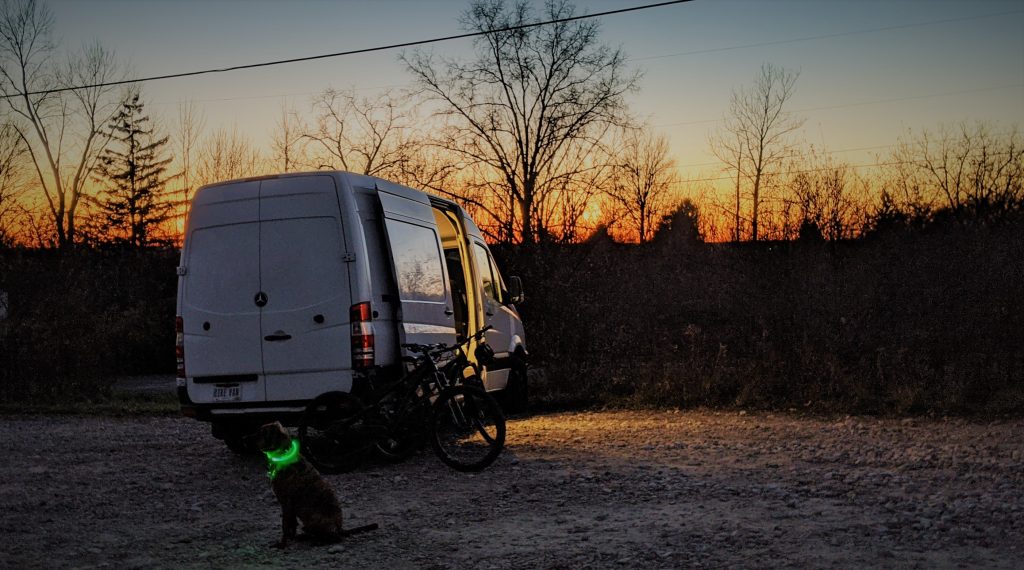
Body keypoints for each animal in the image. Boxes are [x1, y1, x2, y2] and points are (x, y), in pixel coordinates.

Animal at [249, 419, 378, 544]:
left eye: (262, 432)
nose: (246, 439)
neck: (284, 455)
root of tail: (340, 528)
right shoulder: (290, 507)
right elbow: (292, 525)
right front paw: (291, 538)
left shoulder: (286, 503)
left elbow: (285, 526)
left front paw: (282, 544)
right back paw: (304, 536)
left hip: (314, 518)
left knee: (335, 537)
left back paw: (318, 541)